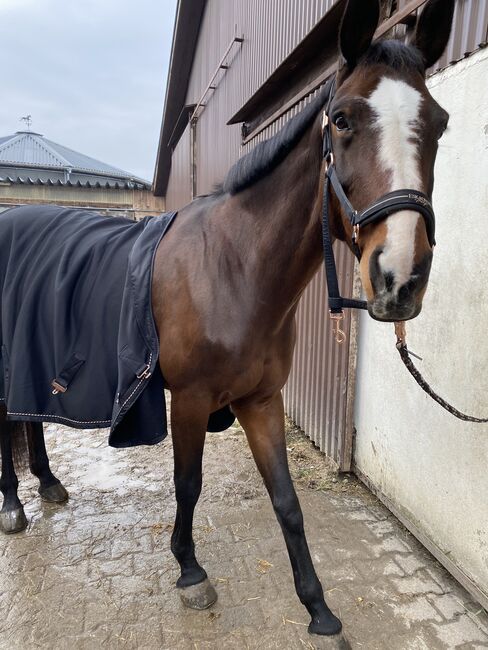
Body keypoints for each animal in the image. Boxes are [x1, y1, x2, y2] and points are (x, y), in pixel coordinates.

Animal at [1, 0, 456, 636]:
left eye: (439, 123)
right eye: (341, 119)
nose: (400, 277)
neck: (235, 269)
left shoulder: (261, 400)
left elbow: (287, 501)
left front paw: (319, 609)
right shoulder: (191, 400)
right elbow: (188, 485)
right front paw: (190, 571)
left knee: (30, 419)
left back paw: (47, 484)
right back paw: (13, 504)